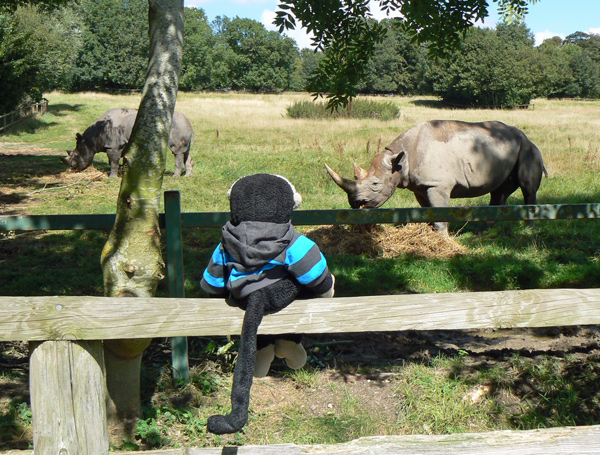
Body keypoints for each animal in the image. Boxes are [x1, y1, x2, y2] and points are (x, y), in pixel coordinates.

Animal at [326, 120, 548, 235]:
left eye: (375, 184)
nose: (354, 203)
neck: (400, 160)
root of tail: (525, 136)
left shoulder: (437, 185)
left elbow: (440, 213)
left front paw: (442, 238)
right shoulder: (420, 186)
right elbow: (428, 212)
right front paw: (433, 234)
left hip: (528, 148)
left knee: (527, 188)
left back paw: (529, 230)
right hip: (504, 150)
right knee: (499, 191)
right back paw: (480, 232)